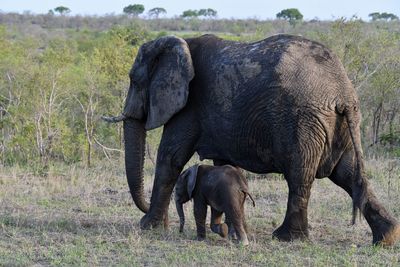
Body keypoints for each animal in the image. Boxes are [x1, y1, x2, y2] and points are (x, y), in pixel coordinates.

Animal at [104, 34, 400, 247]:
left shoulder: (190, 106)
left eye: (134, 80)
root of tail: (342, 92)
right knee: (348, 174)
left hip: (304, 122)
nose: (146, 211)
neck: (180, 43)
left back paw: (286, 237)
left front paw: (148, 227)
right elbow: (221, 165)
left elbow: (170, 157)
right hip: (339, 123)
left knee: (300, 176)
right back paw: (386, 238)